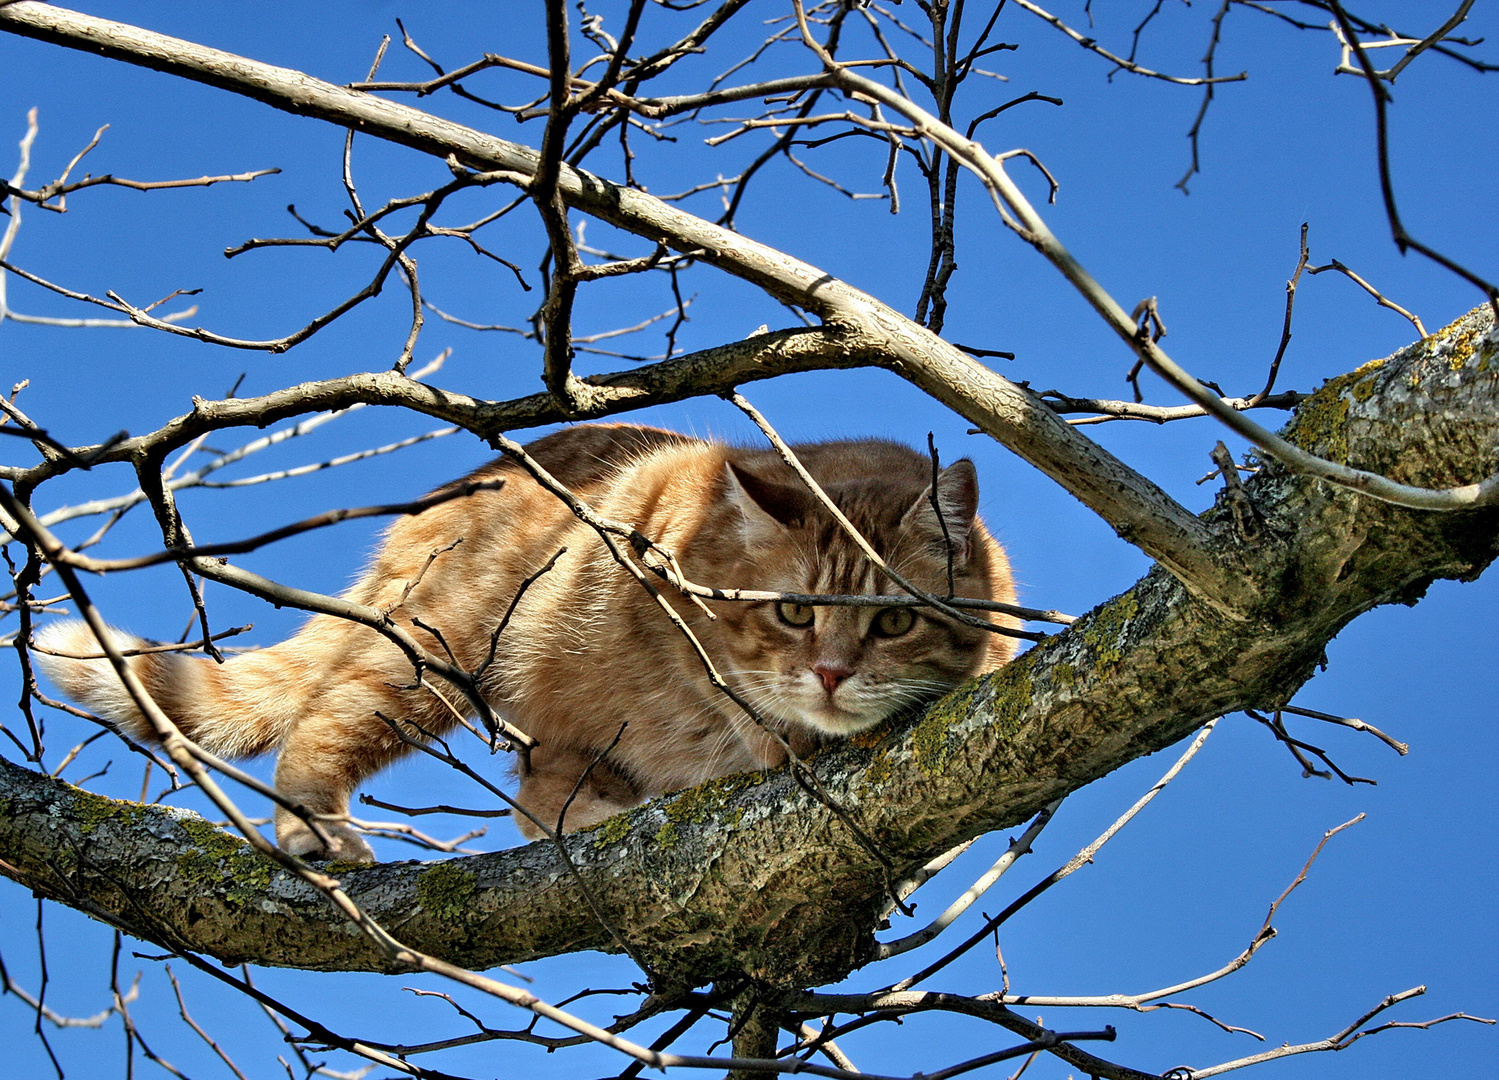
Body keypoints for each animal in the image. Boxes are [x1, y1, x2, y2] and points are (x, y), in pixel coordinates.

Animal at [35, 423, 1019, 858]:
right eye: (792, 614)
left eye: (892, 620)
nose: (829, 674)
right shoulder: (659, 533)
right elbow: (731, 690)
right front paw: (780, 736)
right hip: (436, 655)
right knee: (325, 724)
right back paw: (317, 826)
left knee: (539, 791)